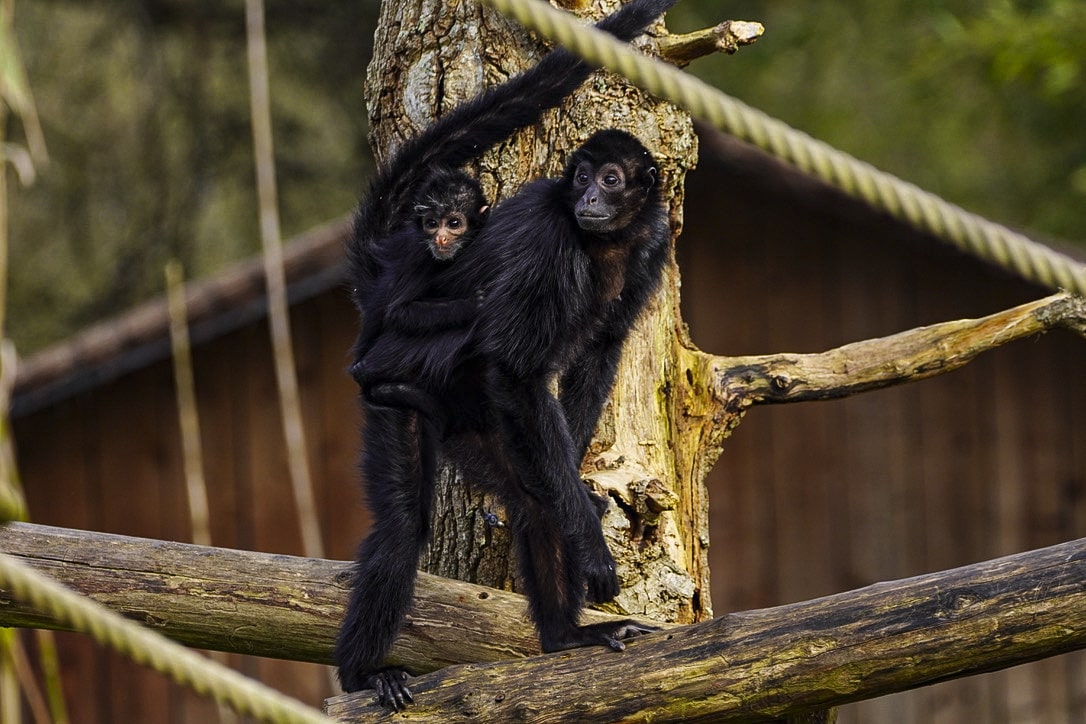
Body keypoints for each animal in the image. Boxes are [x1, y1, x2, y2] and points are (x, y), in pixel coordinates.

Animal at [338, 0, 677, 707]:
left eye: (610, 179)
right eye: (580, 178)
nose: (589, 198)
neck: (600, 244)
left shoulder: (653, 239)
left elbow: (598, 353)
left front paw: (576, 493)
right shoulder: (550, 239)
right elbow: (520, 369)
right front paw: (590, 545)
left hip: (479, 419)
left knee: (529, 491)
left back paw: (564, 638)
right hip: (398, 365)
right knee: (404, 518)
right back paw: (362, 674)